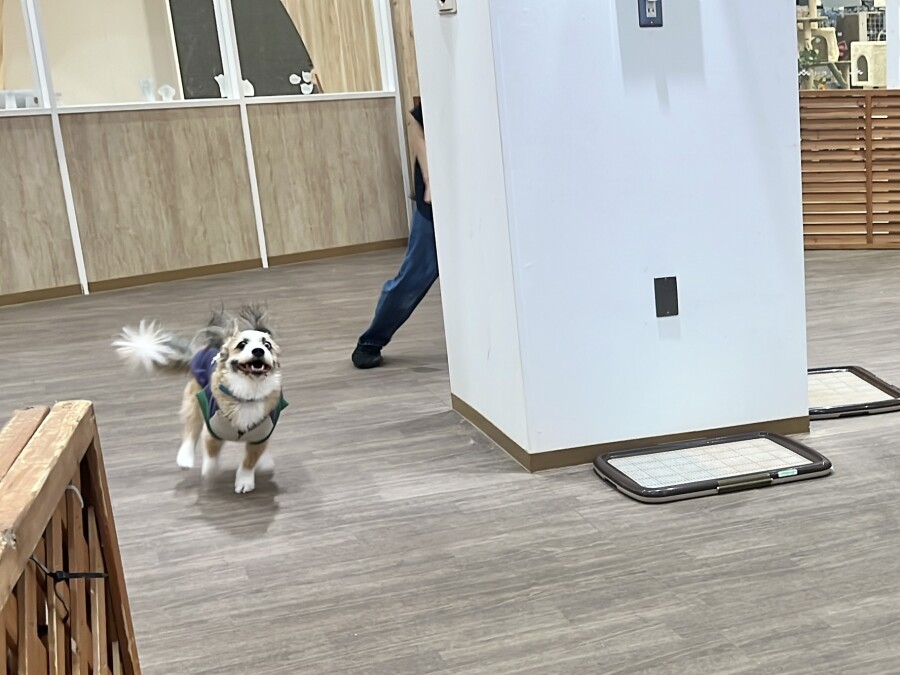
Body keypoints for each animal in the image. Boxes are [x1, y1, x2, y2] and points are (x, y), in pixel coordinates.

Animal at [112, 306, 287, 494]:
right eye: (242, 345)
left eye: (267, 345)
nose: (259, 351)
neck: (247, 394)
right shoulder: (212, 431)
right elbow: (211, 455)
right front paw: (210, 472)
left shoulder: (260, 438)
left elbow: (249, 461)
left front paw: (245, 480)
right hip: (195, 401)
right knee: (191, 429)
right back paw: (185, 457)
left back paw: (264, 461)